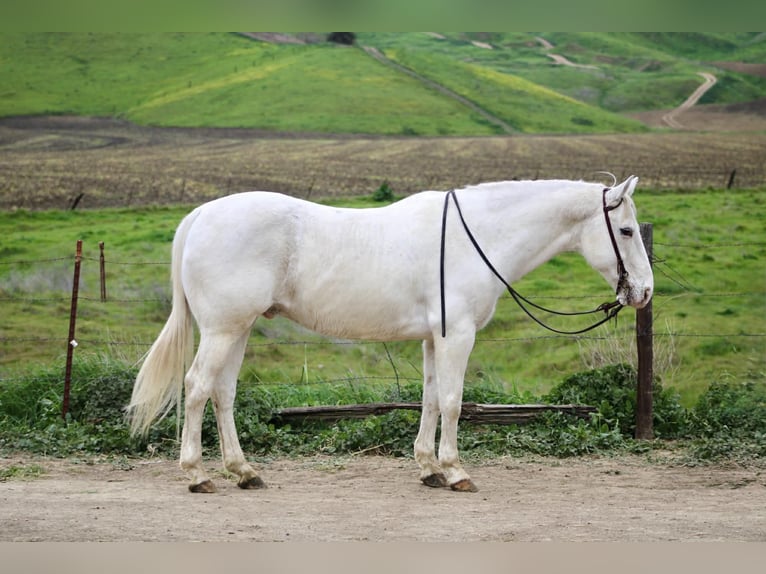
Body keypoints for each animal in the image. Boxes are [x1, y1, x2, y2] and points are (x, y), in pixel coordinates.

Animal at [127, 175, 653, 493]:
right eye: (626, 231)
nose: (645, 291)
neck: (476, 237)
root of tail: (201, 215)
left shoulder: (434, 338)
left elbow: (430, 399)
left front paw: (428, 468)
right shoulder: (458, 336)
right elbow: (453, 402)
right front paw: (455, 471)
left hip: (237, 329)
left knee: (223, 394)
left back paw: (244, 471)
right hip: (222, 330)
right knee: (197, 388)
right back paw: (197, 475)